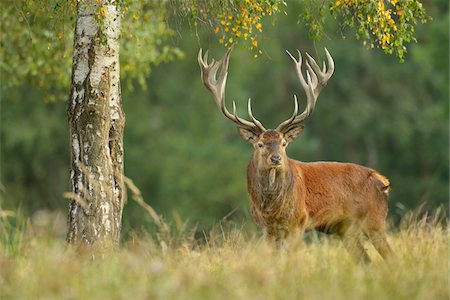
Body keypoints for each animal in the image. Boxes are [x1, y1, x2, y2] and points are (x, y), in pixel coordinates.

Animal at [198, 48, 394, 264]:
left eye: (284, 144)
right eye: (260, 144)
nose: (276, 158)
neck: (271, 209)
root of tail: (383, 181)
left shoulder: (298, 222)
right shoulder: (267, 229)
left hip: (375, 220)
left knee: (390, 256)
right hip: (346, 228)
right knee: (365, 260)